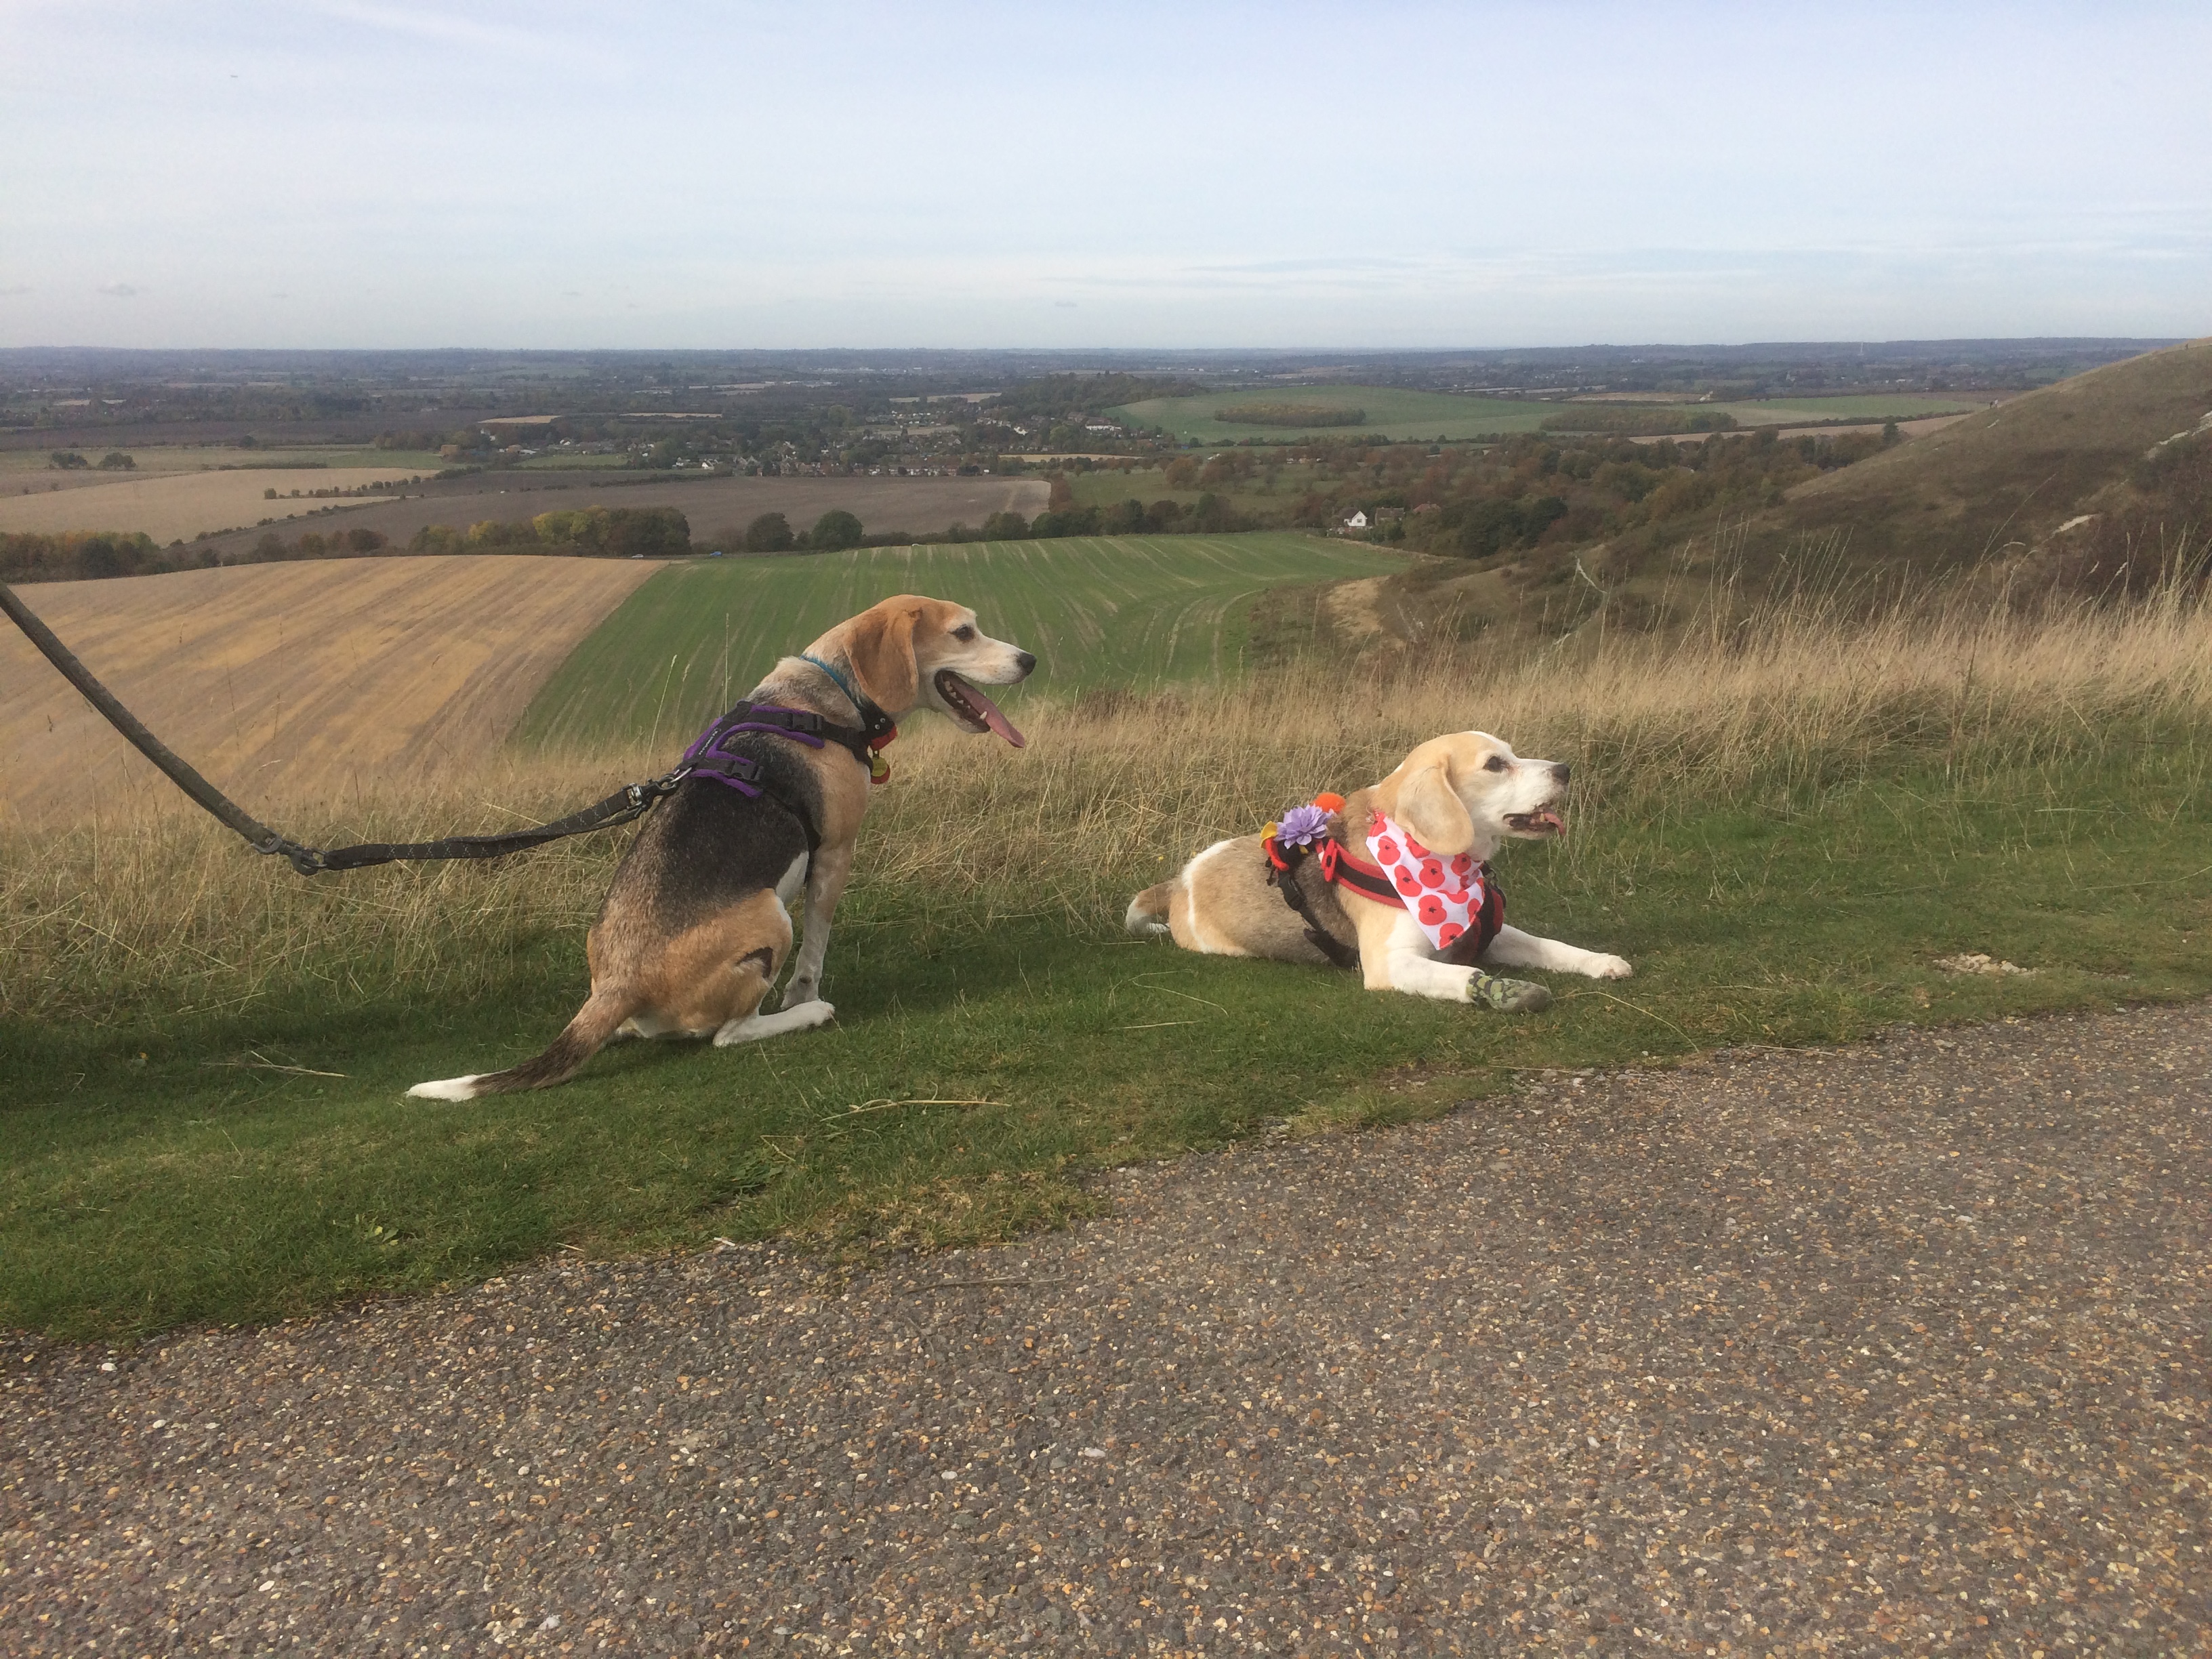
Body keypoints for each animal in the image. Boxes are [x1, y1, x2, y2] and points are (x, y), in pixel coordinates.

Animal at [409, 595, 1034, 1099]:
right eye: (963, 633)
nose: (1030, 660)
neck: (826, 696)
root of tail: (619, 983)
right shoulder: (834, 856)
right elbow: (815, 949)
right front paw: (803, 995)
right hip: (771, 916)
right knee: (731, 1035)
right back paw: (809, 1015)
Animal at [1124, 731, 1629, 1010]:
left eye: (1512, 753)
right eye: (1495, 764)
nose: (1565, 769)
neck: (1438, 865)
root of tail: (1180, 882)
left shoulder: (1491, 930)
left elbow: (1551, 946)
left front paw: (1601, 961)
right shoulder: (1391, 964)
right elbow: (1463, 973)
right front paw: (1502, 990)